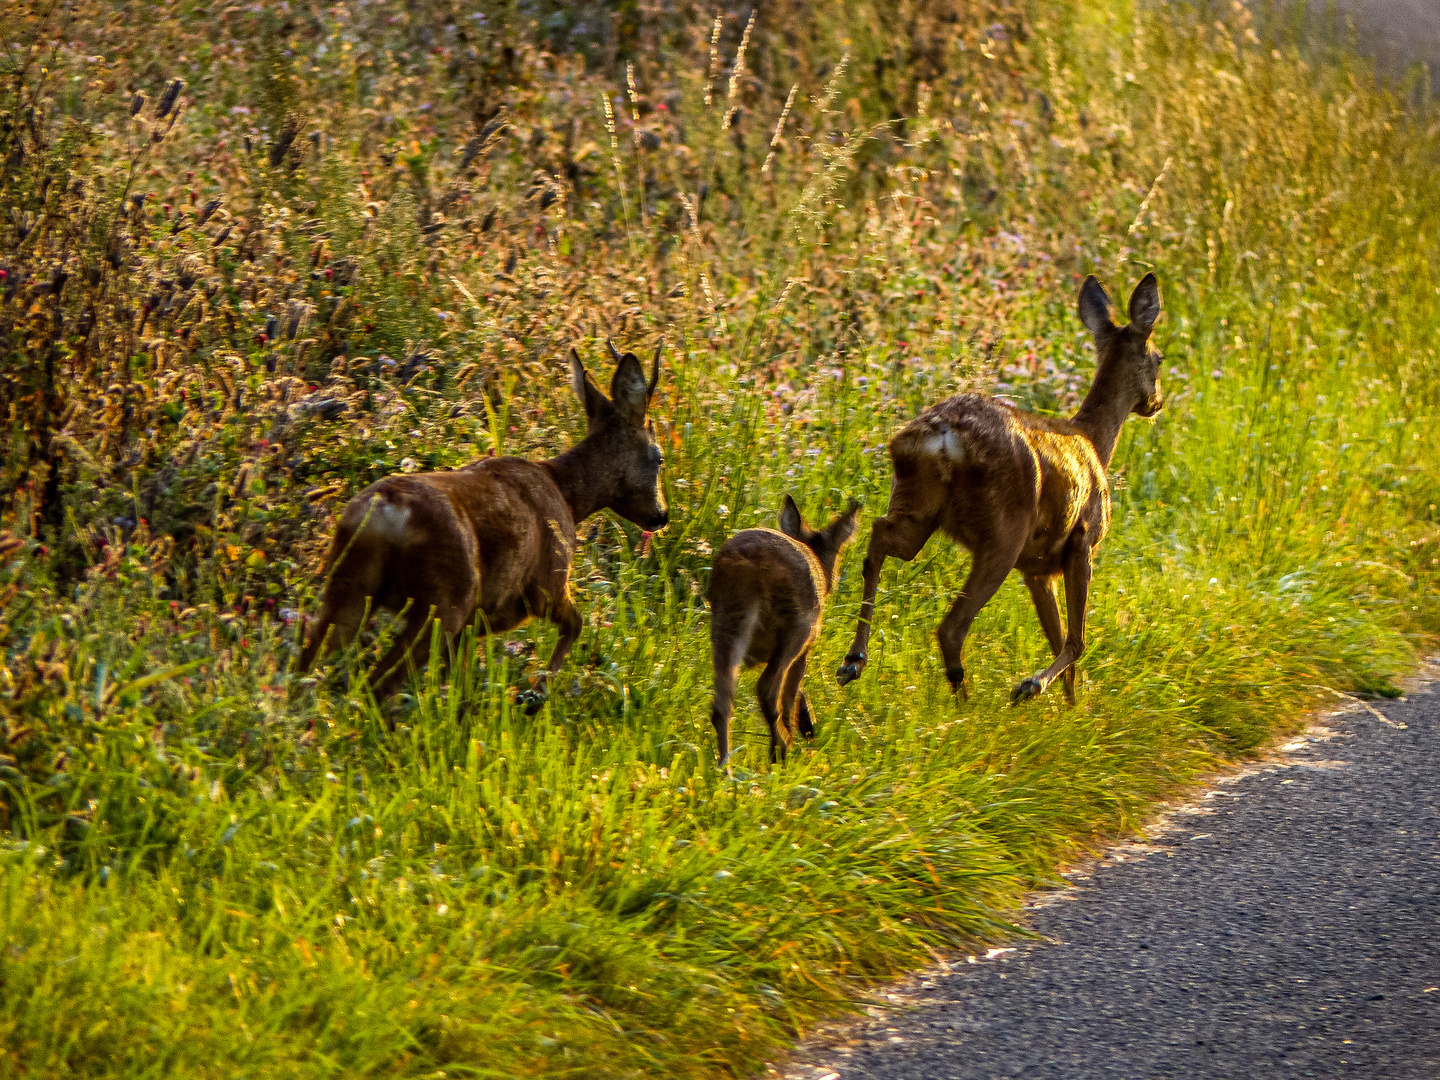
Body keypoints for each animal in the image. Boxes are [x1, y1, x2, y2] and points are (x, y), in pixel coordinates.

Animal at [300, 339, 671, 711]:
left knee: (307, 666)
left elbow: (463, 685)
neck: (566, 493)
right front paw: (535, 694)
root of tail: (383, 514)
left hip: (351, 586)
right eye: (659, 457)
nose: (661, 515)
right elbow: (577, 624)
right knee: (376, 686)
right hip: (444, 599)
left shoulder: (473, 626)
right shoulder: (547, 583)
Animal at [705, 498, 852, 771]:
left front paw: (807, 723)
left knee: (722, 701)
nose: (834, 582)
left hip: (726, 622)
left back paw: (726, 769)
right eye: (836, 555)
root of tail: (748, 564)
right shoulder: (806, 646)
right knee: (767, 687)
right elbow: (792, 691)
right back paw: (781, 751)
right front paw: (801, 731)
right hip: (797, 625)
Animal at [840, 275, 1163, 705]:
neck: (1094, 442)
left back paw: (853, 661)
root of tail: (941, 436)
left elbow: (1058, 636)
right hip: (1004, 529)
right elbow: (1075, 641)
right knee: (951, 627)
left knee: (878, 539)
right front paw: (1035, 687)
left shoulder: (1037, 569)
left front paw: (1071, 708)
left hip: (917, 505)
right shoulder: (1082, 540)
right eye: (1160, 358)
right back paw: (967, 704)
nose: (1157, 402)